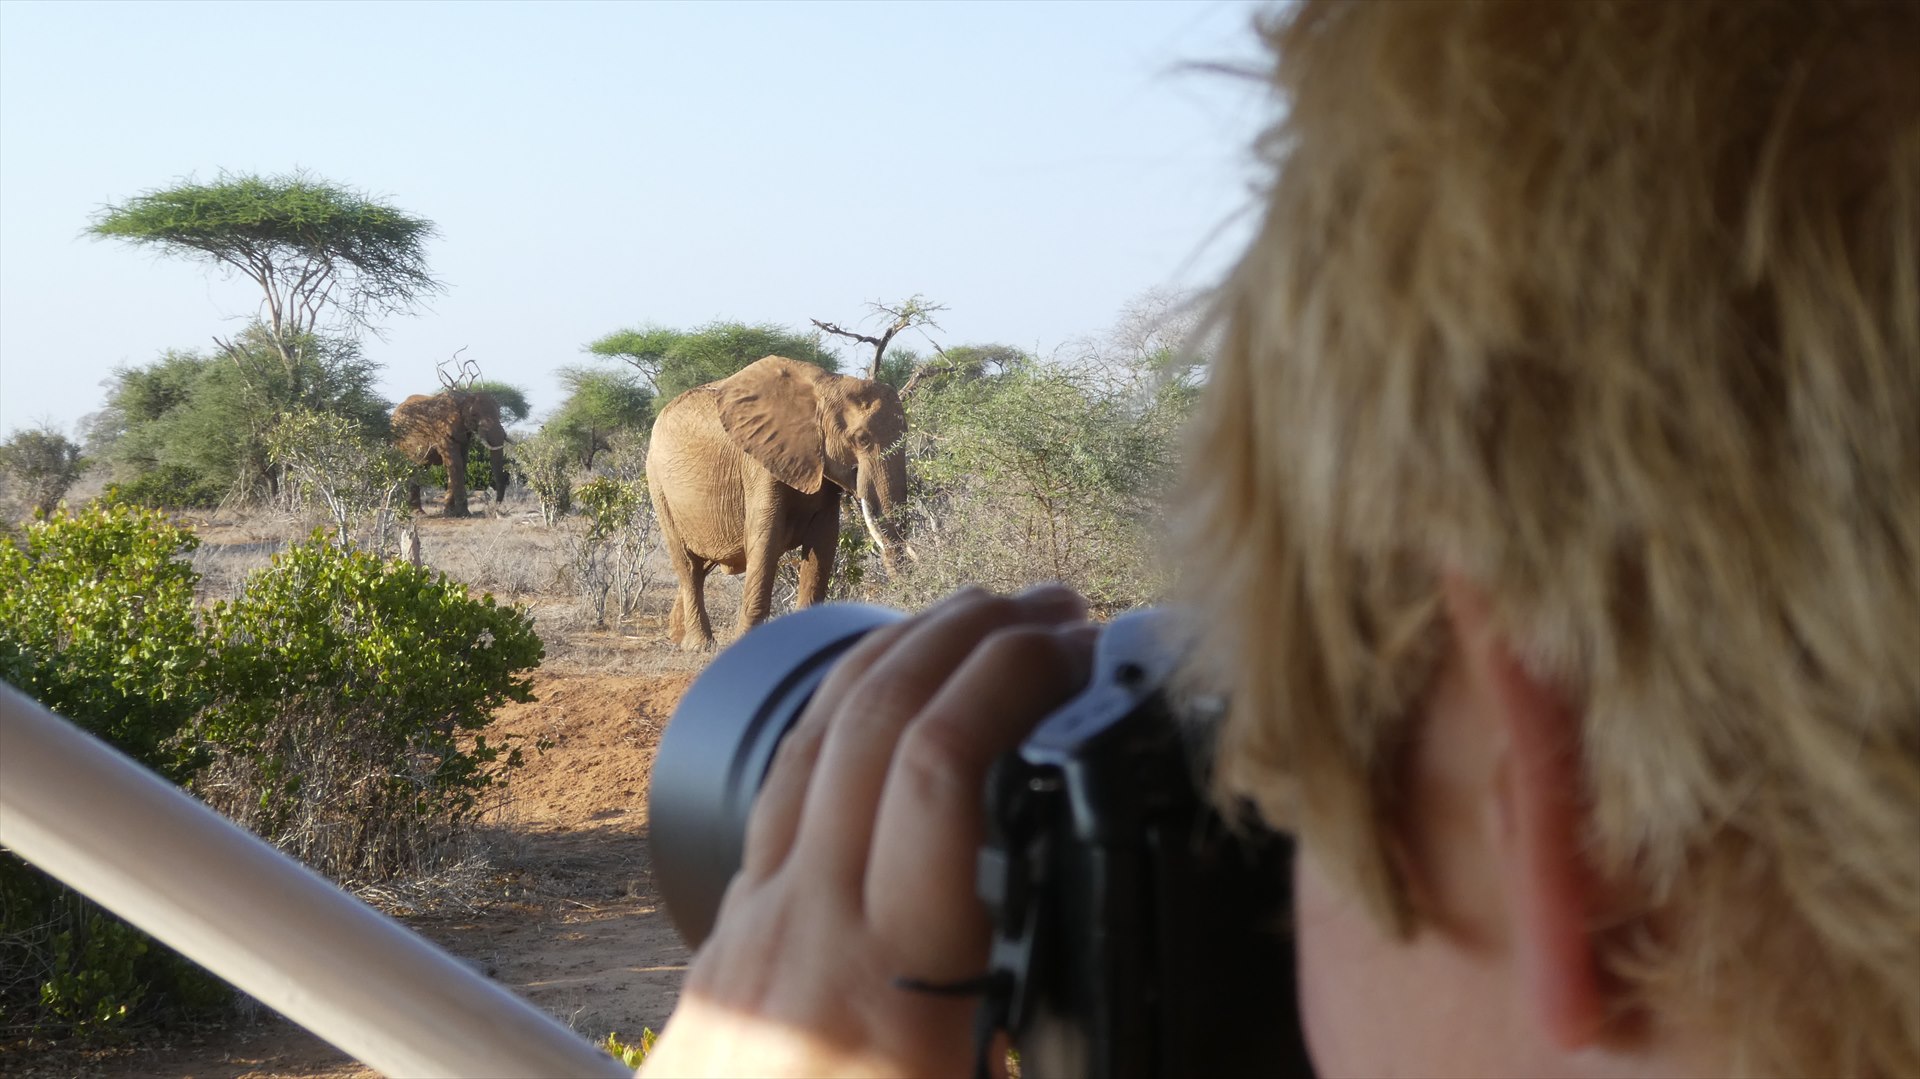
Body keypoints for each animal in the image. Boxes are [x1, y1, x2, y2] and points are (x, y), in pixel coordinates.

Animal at [648, 355, 913, 650]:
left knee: (702, 566)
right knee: (688, 566)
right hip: (658, 486)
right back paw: (699, 646)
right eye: (862, 439)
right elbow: (765, 539)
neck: (827, 385)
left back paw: (677, 638)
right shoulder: (758, 461)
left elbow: (823, 542)